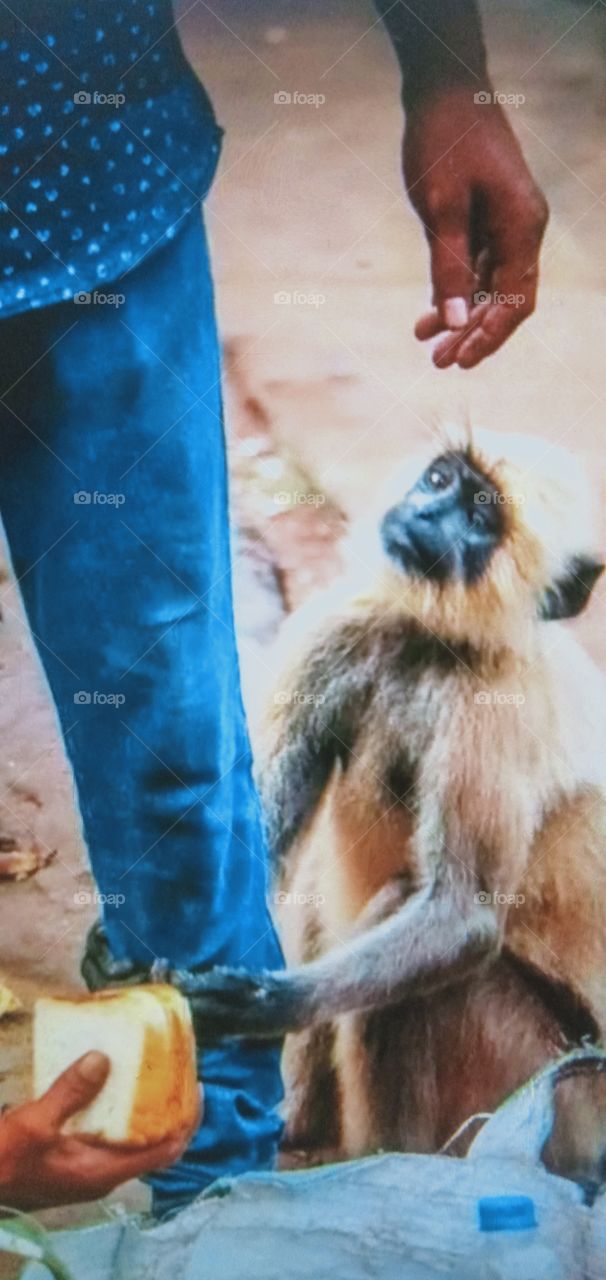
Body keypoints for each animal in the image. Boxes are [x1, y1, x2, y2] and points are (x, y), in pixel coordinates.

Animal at [83, 428, 606, 1166]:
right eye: (441, 482)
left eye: (480, 518)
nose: (423, 514)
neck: (432, 643)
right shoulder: (343, 627)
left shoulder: (497, 710)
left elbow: (465, 918)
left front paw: (263, 1006)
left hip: (551, 1085)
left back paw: (384, 1161)